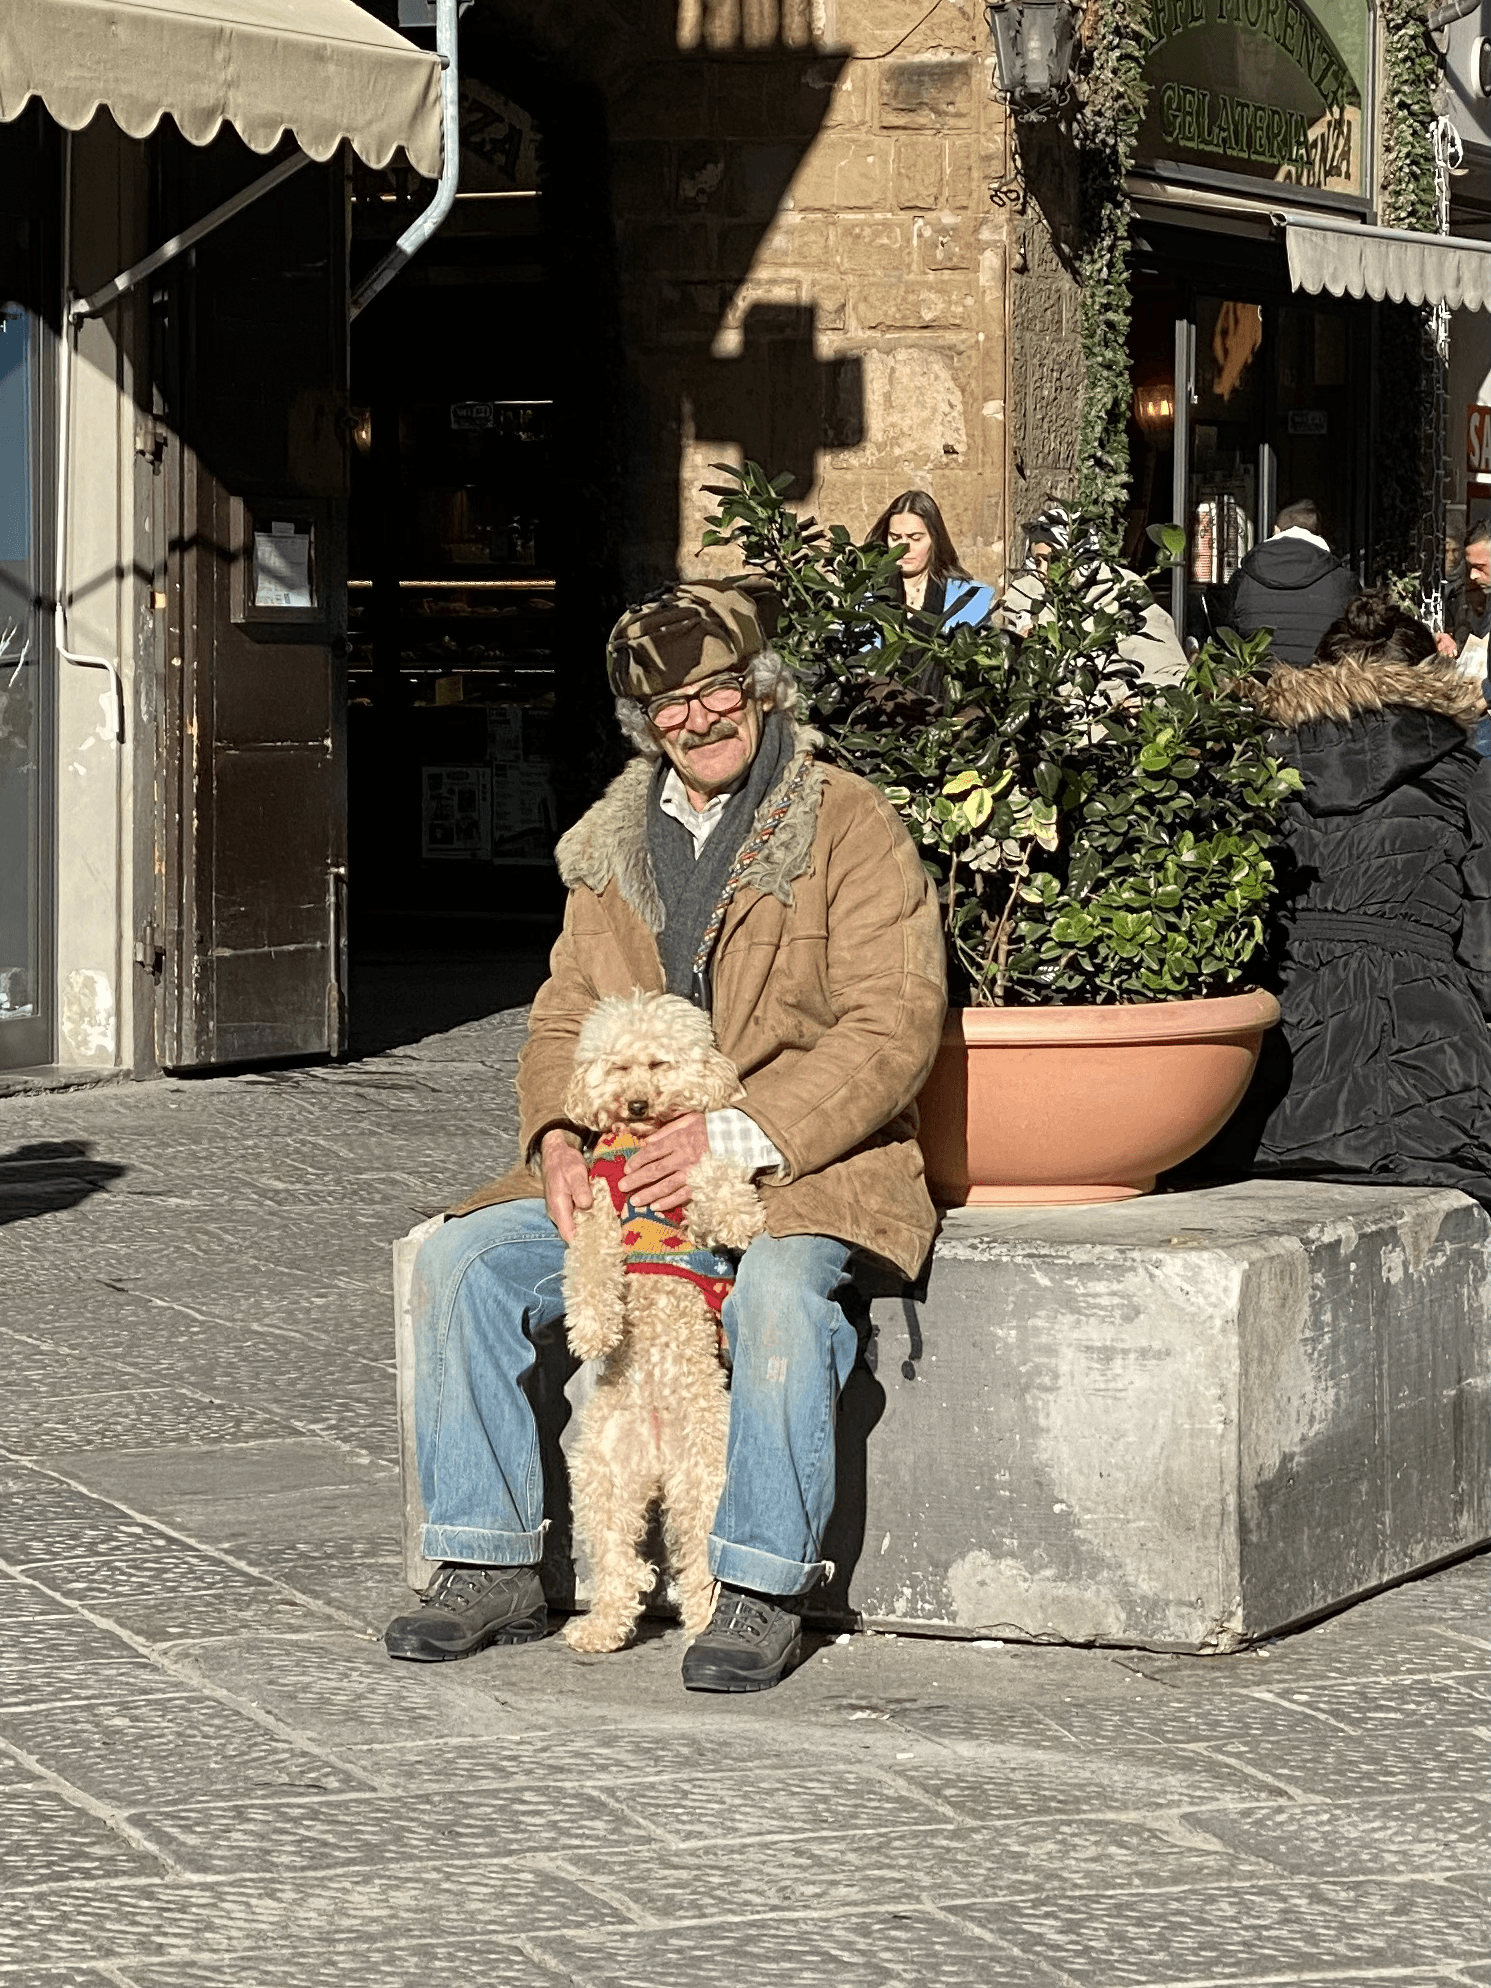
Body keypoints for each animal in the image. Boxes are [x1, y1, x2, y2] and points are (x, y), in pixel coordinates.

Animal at [564, 986, 763, 1654]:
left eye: (658, 1064)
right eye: (619, 1067)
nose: (636, 1103)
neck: (643, 1140)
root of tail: (653, 1443)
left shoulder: (691, 1169)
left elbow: (714, 1177)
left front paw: (738, 1218)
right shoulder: (595, 1207)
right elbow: (590, 1265)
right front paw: (593, 1328)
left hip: (702, 1477)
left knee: (698, 1560)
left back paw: (705, 1624)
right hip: (600, 1476)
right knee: (622, 1562)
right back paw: (602, 1625)